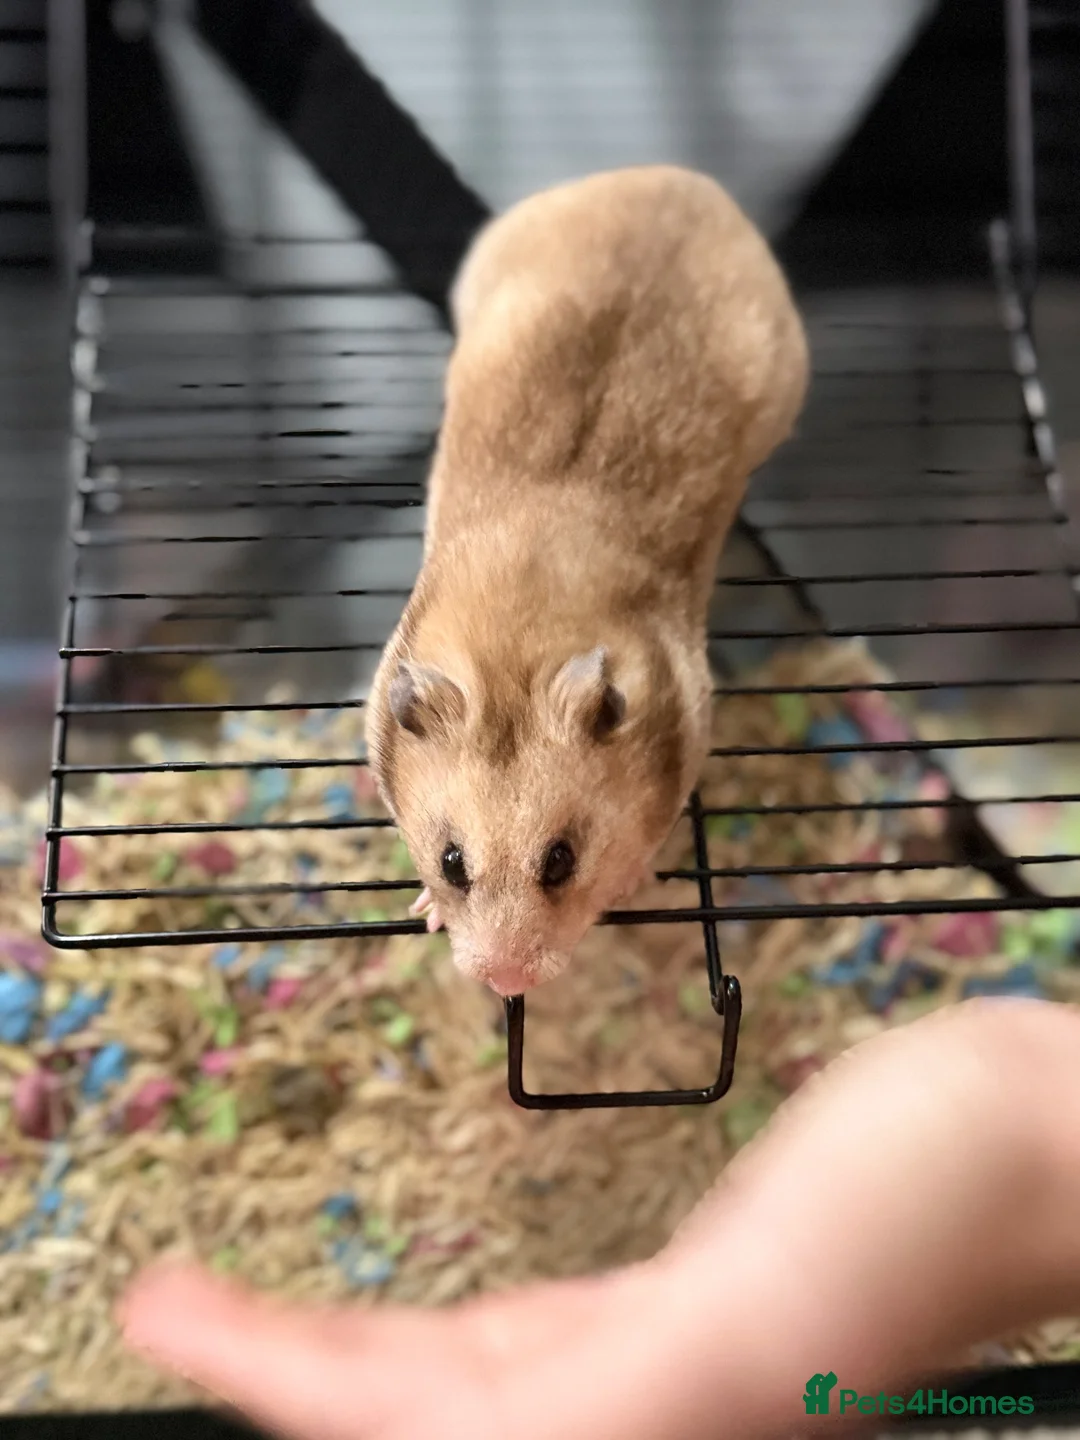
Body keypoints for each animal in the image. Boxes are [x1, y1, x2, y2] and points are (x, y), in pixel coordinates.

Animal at [365, 165, 809, 997]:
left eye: (561, 860)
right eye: (451, 861)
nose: (506, 983)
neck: (517, 647)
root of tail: (679, 179)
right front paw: (425, 908)